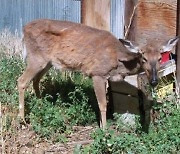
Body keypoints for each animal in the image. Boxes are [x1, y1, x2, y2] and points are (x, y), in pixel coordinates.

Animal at [17, 18, 179, 128]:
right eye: (143, 58)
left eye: (159, 58)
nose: (154, 81)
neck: (118, 61)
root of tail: (24, 28)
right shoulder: (97, 73)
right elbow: (102, 104)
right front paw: (104, 129)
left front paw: (102, 125)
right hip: (36, 57)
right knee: (21, 81)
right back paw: (23, 120)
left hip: (47, 62)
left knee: (35, 80)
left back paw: (41, 104)